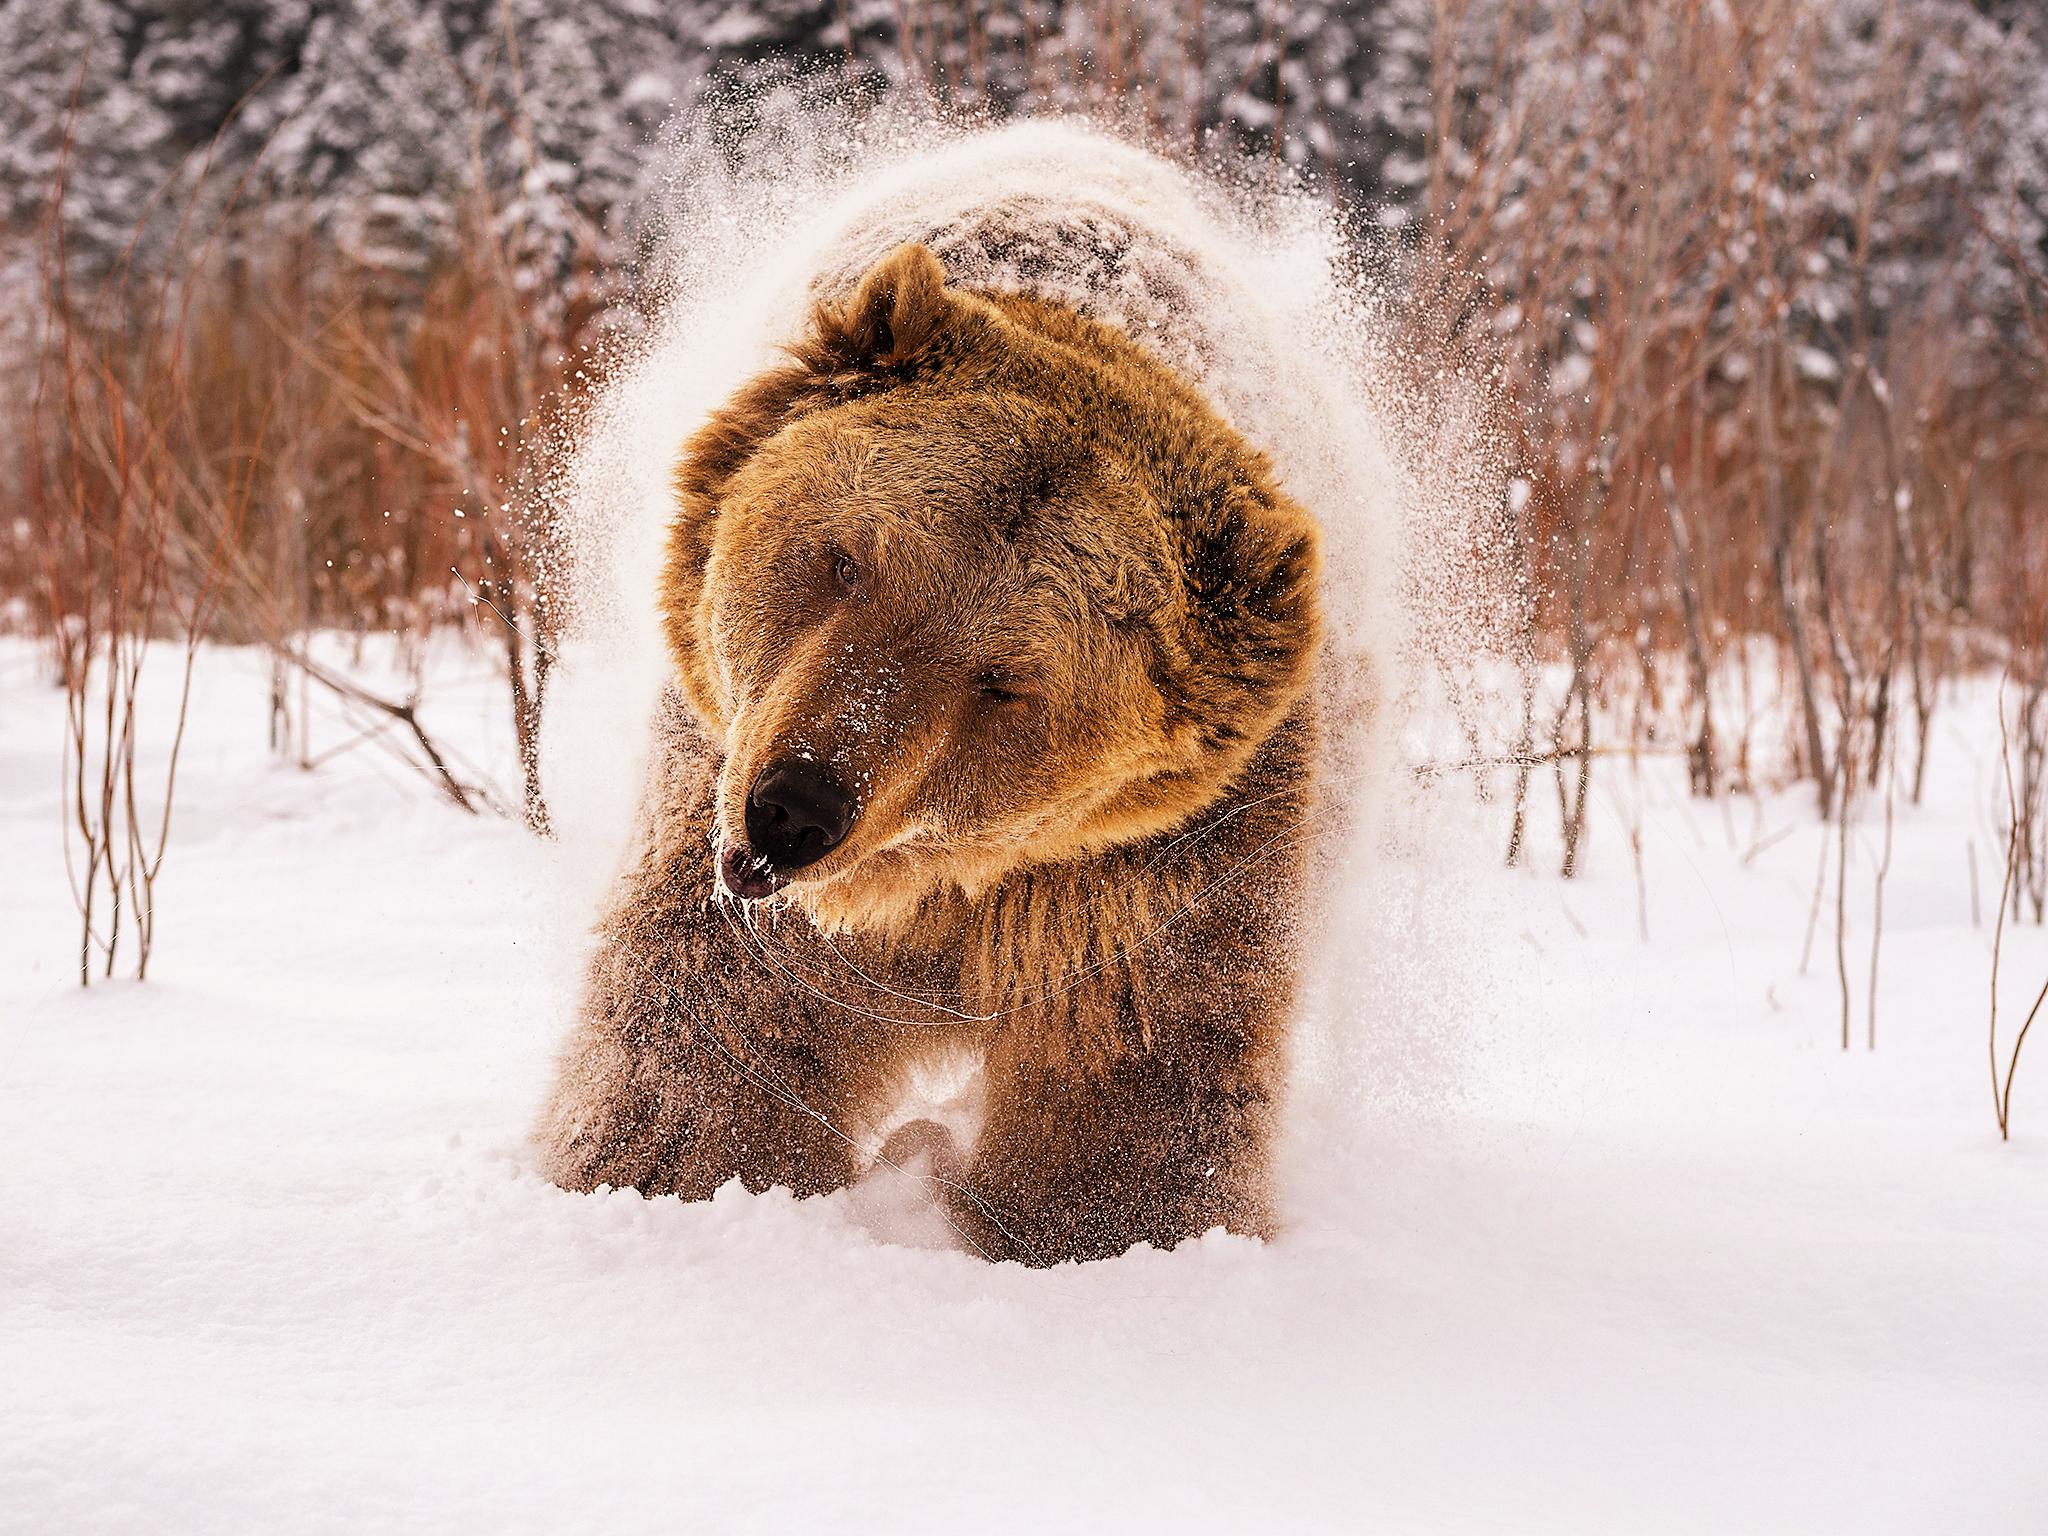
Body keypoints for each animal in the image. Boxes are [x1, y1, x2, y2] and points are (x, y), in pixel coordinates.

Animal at [536, 240, 1318, 1269]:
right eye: (846, 562)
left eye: (1006, 680)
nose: (793, 809)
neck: (927, 885)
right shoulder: (721, 797)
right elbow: (710, 1029)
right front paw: (666, 1177)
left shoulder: (1147, 873)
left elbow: (1136, 1069)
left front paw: (1103, 1230)